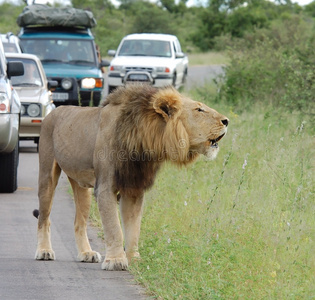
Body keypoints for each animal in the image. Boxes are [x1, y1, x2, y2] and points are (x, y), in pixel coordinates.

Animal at [34, 83, 230, 270]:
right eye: (199, 110)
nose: (226, 121)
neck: (144, 142)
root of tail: (54, 111)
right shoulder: (105, 187)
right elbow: (115, 228)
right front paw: (116, 261)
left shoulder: (134, 188)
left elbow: (133, 227)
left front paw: (134, 259)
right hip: (47, 174)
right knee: (44, 218)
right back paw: (44, 251)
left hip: (81, 186)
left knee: (78, 222)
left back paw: (86, 253)